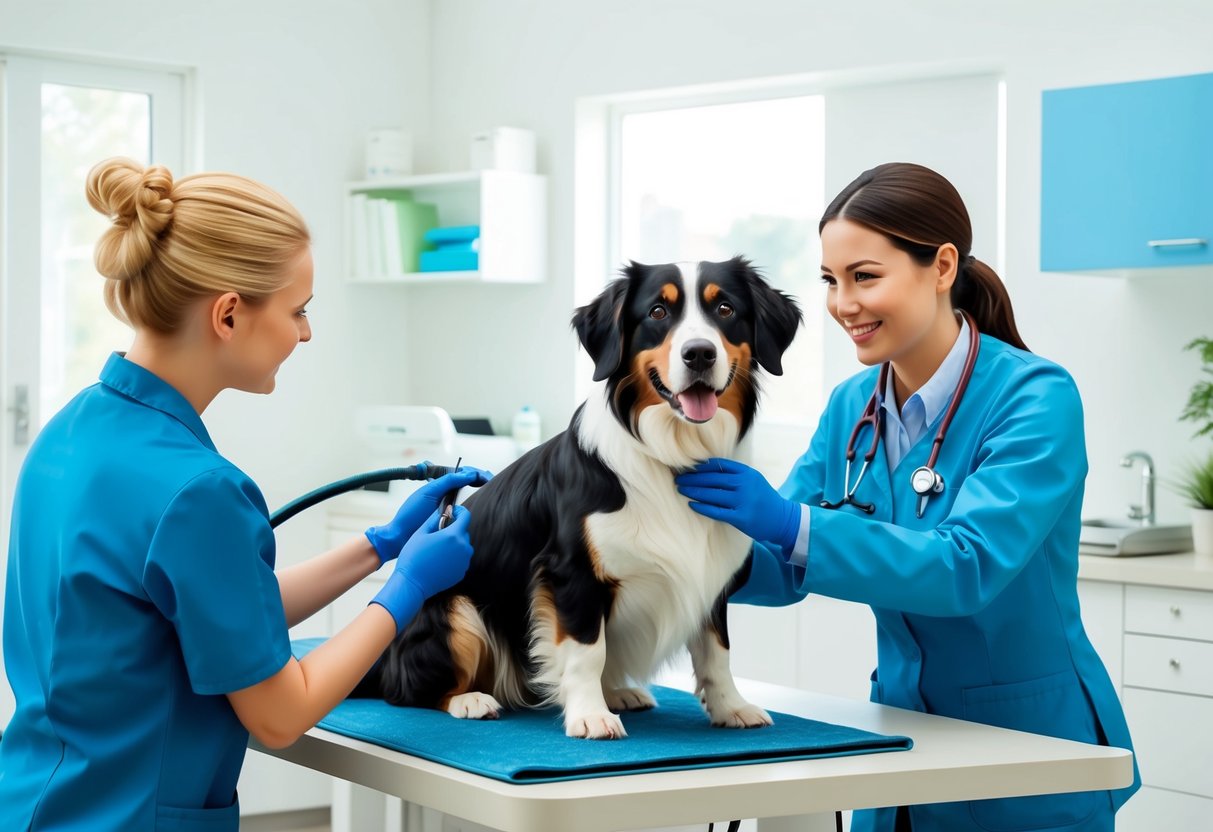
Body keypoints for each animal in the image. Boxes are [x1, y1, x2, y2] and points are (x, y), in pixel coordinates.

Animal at [354, 257, 800, 742]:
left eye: (724, 308)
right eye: (658, 312)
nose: (699, 353)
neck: (673, 459)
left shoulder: (711, 576)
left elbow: (717, 650)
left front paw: (730, 706)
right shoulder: (570, 573)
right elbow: (587, 650)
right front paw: (589, 714)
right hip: (453, 609)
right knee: (408, 689)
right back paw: (469, 699)